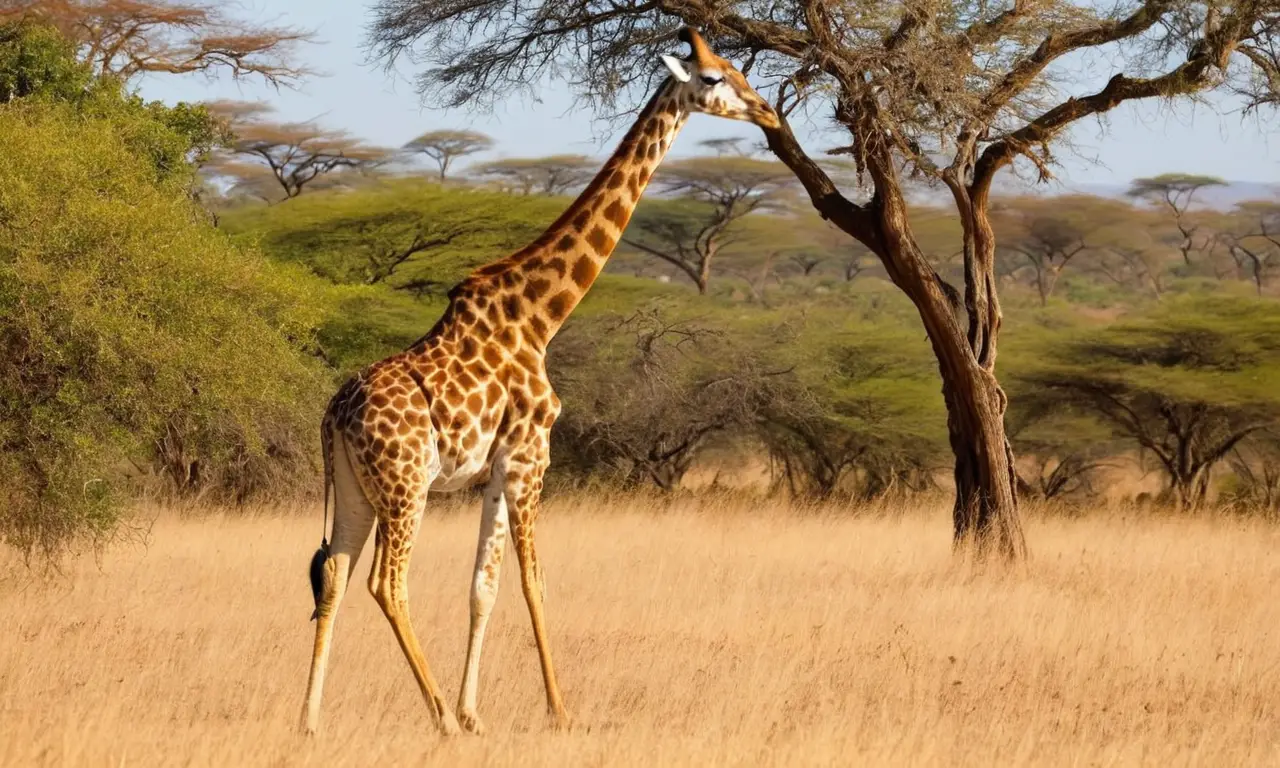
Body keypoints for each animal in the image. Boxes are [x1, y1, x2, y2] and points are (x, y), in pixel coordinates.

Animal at [301, 27, 780, 737]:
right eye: (716, 77)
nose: (769, 113)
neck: (541, 316)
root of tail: (334, 412)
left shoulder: (499, 469)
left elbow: (484, 586)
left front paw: (476, 713)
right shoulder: (532, 457)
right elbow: (535, 581)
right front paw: (558, 709)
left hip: (358, 486)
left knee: (334, 572)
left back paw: (311, 719)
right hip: (406, 484)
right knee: (387, 582)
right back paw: (436, 716)